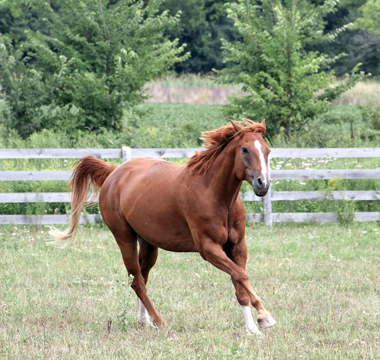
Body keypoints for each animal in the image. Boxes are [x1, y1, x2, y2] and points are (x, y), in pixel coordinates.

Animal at [49, 119, 276, 334]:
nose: (262, 184)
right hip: (124, 239)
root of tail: (115, 172)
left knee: (142, 278)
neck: (216, 195)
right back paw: (159, 321)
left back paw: (145, 321)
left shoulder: (237, 246)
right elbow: (241, 275)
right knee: (137, 281)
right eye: (244, 149)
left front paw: (253, 328)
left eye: (267, 150)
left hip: (149, 245)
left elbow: (239, 282)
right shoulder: (208, 248)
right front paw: (265, 316)